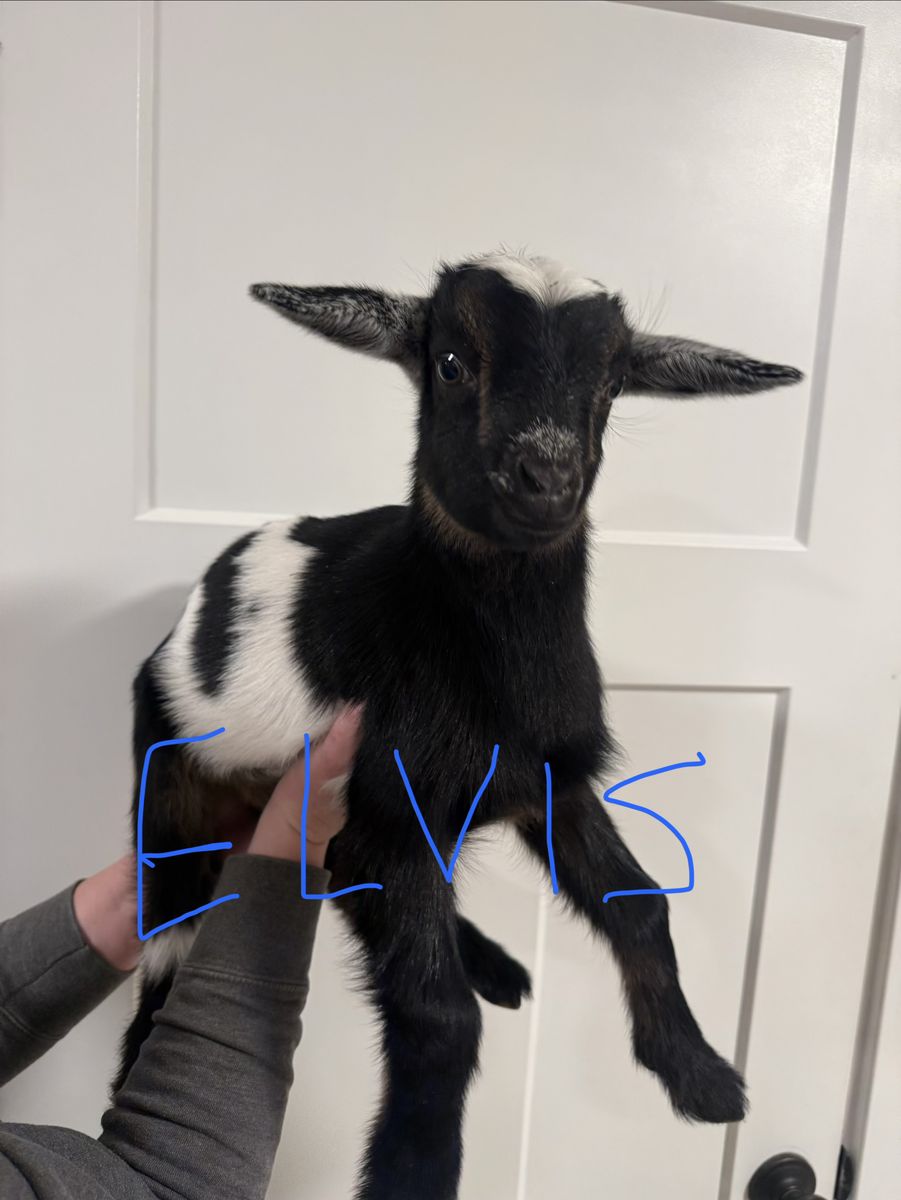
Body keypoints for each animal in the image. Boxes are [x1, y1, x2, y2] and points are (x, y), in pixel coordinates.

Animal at [116, 250, 802, 1200]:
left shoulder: (544, 782)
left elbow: (639, 907)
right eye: (448, 362)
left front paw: (699, 1078)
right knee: (170, 952)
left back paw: (497, 966)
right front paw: (413, 1173)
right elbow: (439, 1016)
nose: (545, 481)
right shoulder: (385, 812)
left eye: (612, 382)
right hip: (173, 790)